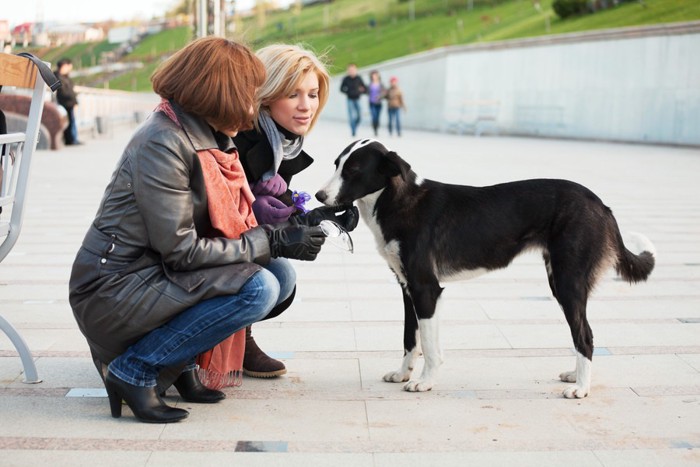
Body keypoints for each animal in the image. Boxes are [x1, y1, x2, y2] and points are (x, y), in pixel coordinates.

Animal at [318, 139, 656, 398]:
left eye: (353, 170)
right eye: (336, 165)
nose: (319, 196)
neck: (397, 201)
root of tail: (600, 204)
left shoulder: (426, 289)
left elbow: (429, 345)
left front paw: (425, 382)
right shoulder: (406, 287)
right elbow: (409, 339)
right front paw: (403, 374)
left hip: (567, 281)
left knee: (584, 335)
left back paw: (582, 388)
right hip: (560, 280)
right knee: (580, 333)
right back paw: (576, 376)